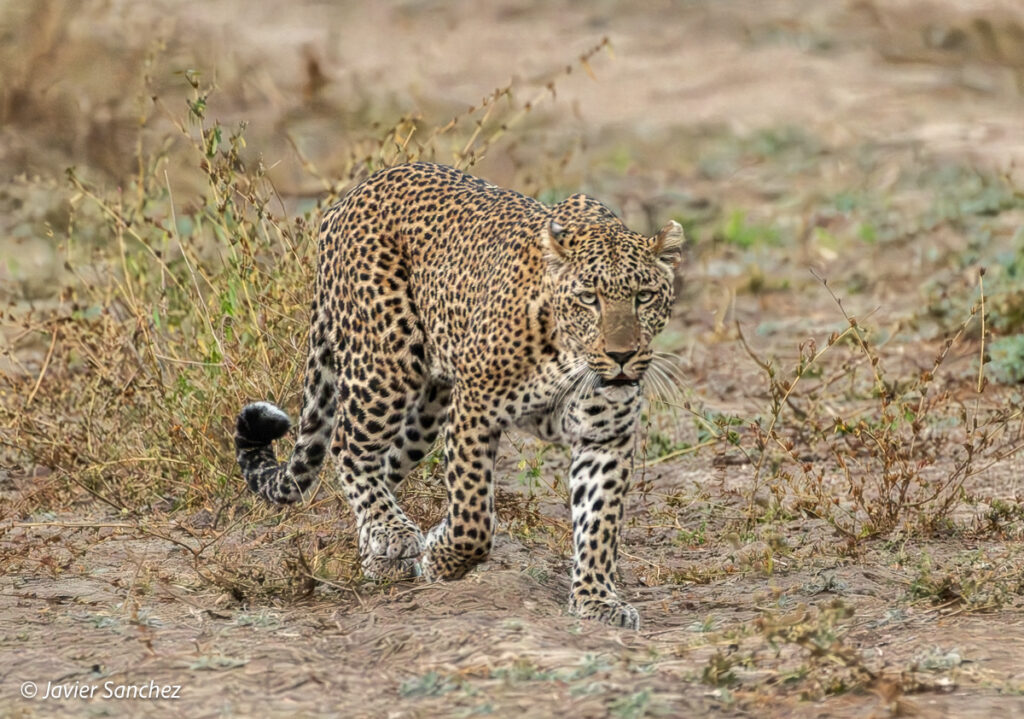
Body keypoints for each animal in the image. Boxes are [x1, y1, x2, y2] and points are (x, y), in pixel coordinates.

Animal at [234, 162, 685, 630]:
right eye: (588, 299)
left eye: (644, 297)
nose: (622, 356)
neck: (568, 355)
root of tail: (348, 198)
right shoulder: (476, 407)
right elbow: (473, 516)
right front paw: (443, 557)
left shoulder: (605, 437)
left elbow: (599, 523)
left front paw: (597, 600)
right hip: (384, 366)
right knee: (347, 447)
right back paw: (395, 534)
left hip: (426, 410)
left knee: (386, 466)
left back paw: (378, 553)